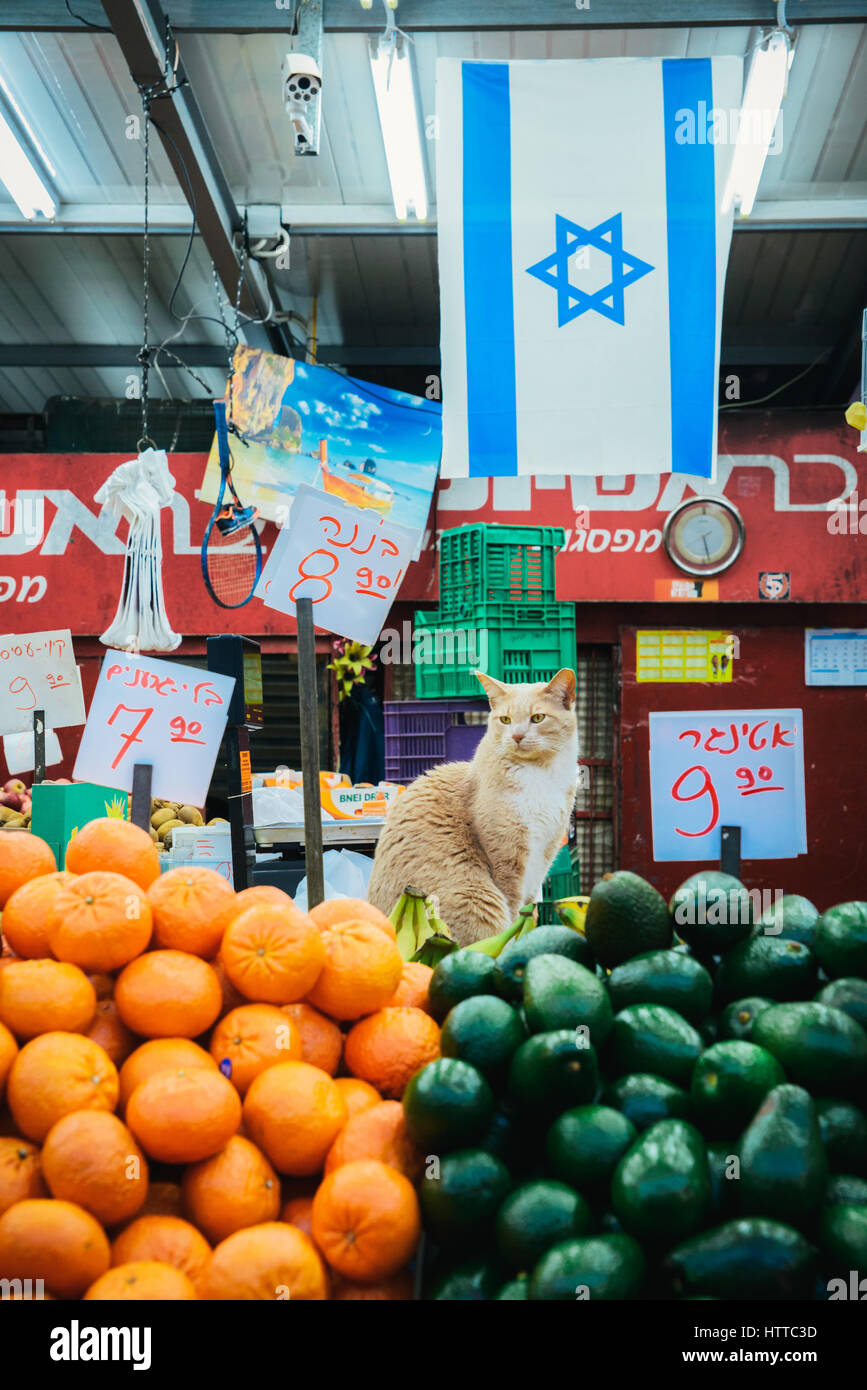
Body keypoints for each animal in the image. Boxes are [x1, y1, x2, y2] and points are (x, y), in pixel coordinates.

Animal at [366, 667, 575, 950]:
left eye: (538, 718)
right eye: (505, 720)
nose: (517, 736)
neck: (540, 776)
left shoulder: (544, 854)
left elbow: (529, 909)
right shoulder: (507, 861)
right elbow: (513, 913)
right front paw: (511, 946)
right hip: (475, 894)